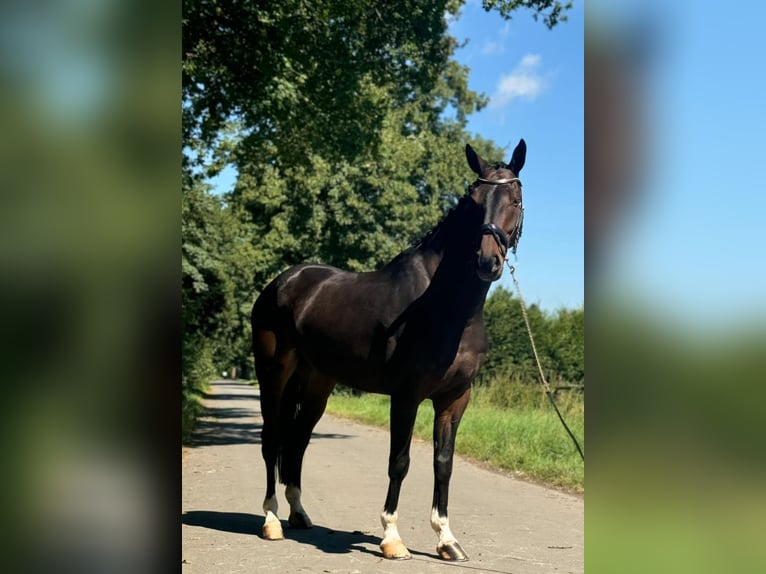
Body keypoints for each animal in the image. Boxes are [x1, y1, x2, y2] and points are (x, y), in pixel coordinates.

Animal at [252, 142, 528, 564]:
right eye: (473, 202)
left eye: (514, 199)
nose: (487, 261)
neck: (447, 308)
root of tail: (282, 283)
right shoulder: (406, 395)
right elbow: (399, 462)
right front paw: (392, 538)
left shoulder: (454, 399)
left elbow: (443, 464)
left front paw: (447, 540)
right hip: (273, 373)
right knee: (273, 439)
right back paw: (271, 521)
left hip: (316, 383)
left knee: (297, 441)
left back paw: (299, 514)